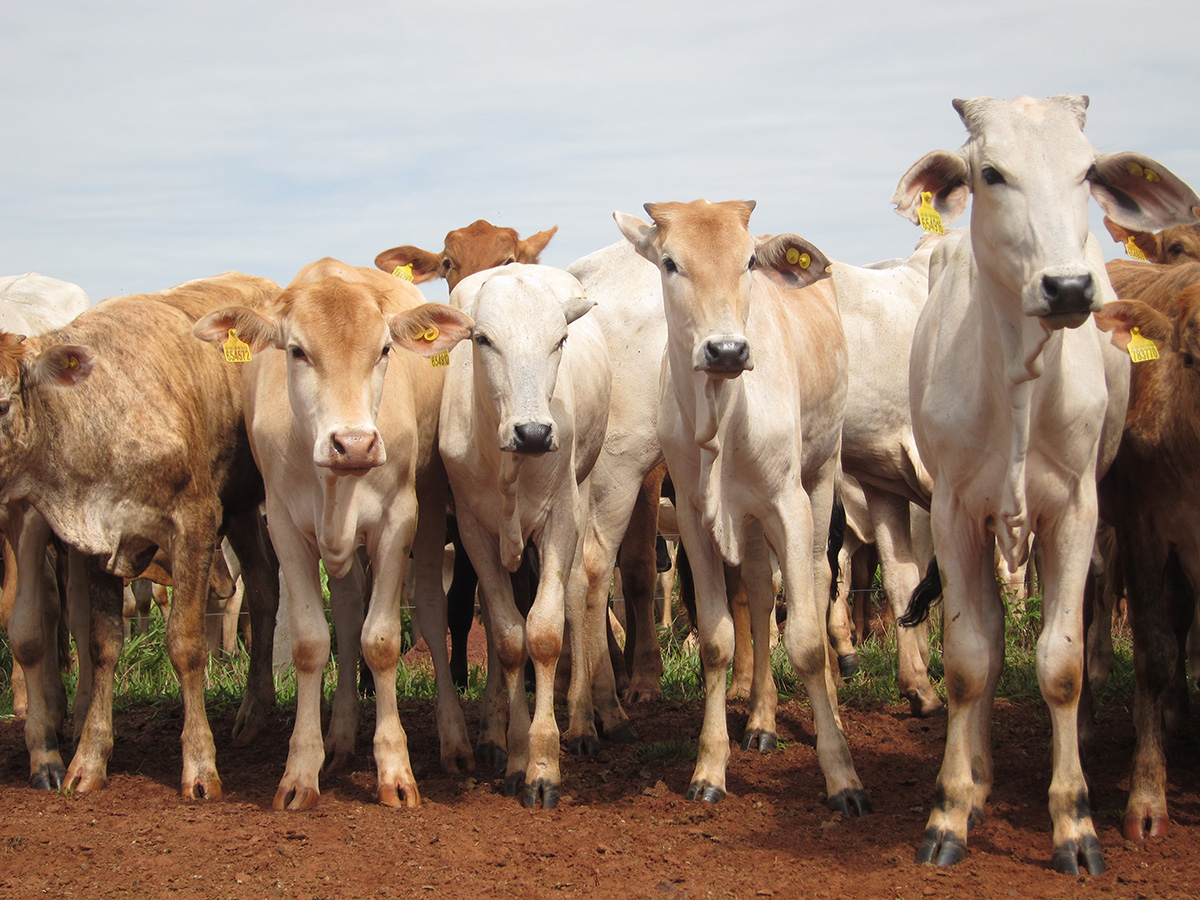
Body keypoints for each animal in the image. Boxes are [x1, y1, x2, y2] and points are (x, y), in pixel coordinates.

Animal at [0, 273, 282, 798]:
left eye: (3, 404)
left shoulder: (194, 522)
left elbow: (186, 644)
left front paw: (200, 765)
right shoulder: (97, 541)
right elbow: (101, 641)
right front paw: (89, 758)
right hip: (240, 509)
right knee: (263, 587)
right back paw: (254, 712)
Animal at [193, 258, 474, 809]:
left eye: (383, 349)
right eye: (297, 351)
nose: (355, 443)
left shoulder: (397, 521)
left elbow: (381, 641)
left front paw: (395, 770)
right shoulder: (285, 527)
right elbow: (311, 642)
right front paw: (302, 769)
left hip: (431, 503)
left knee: (432, 609)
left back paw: (454, 738)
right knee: (344, 614)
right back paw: (341, 739)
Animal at [440, 263, 610, 807]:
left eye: (559, 340)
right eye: (483, 339)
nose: (533, 433)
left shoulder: (561, 518)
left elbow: (544, 633)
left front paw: (542, 764)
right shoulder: (472, 530)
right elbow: (510, 637)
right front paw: (515, 754)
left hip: (580, 492)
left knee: (575, 594)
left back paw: (582, 724)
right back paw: (493, 735)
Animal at [615, 199, 870, 814]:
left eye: (749, 261)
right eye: (670, 262)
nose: (727, 349)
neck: (724, 418)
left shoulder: (788, 504)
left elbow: (805, 640)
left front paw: (841, 775)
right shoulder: (694, 522)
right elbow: (717, 639)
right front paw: (710, 767)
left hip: (819, 478)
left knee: (817, 578)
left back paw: (830, 709)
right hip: (748, 521)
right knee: (756, 585)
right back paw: (760, 719)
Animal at [893, 94, 1199, 874]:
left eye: (1086, 170)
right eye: (991, 173)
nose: (1067, 287)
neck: (1019, 378)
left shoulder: (1078, 514)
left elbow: (1062, 665)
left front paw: (1075, 824)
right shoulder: (954, 513)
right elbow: (969, 661)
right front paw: (950, 808)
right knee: (989, 636)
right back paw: (978, 776)